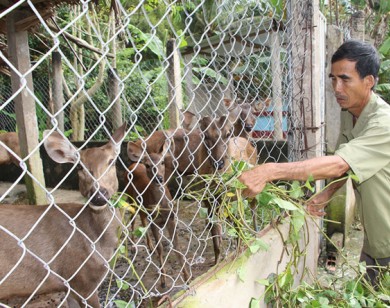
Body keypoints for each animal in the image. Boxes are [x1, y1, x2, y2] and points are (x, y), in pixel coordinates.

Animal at [125, 140, 190, 288]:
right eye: (148, 165)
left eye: (162, 162)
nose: (159, 178)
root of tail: (133, 163)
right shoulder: (154, 221)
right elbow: (160, 248)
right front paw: (163, 280)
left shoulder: (171, 218)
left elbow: (177, 247)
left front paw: (187, 277)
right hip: (131, 199)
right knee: (132, 219)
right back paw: (133, 246)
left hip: (142, 206)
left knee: (142, 219)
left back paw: (149, 246)